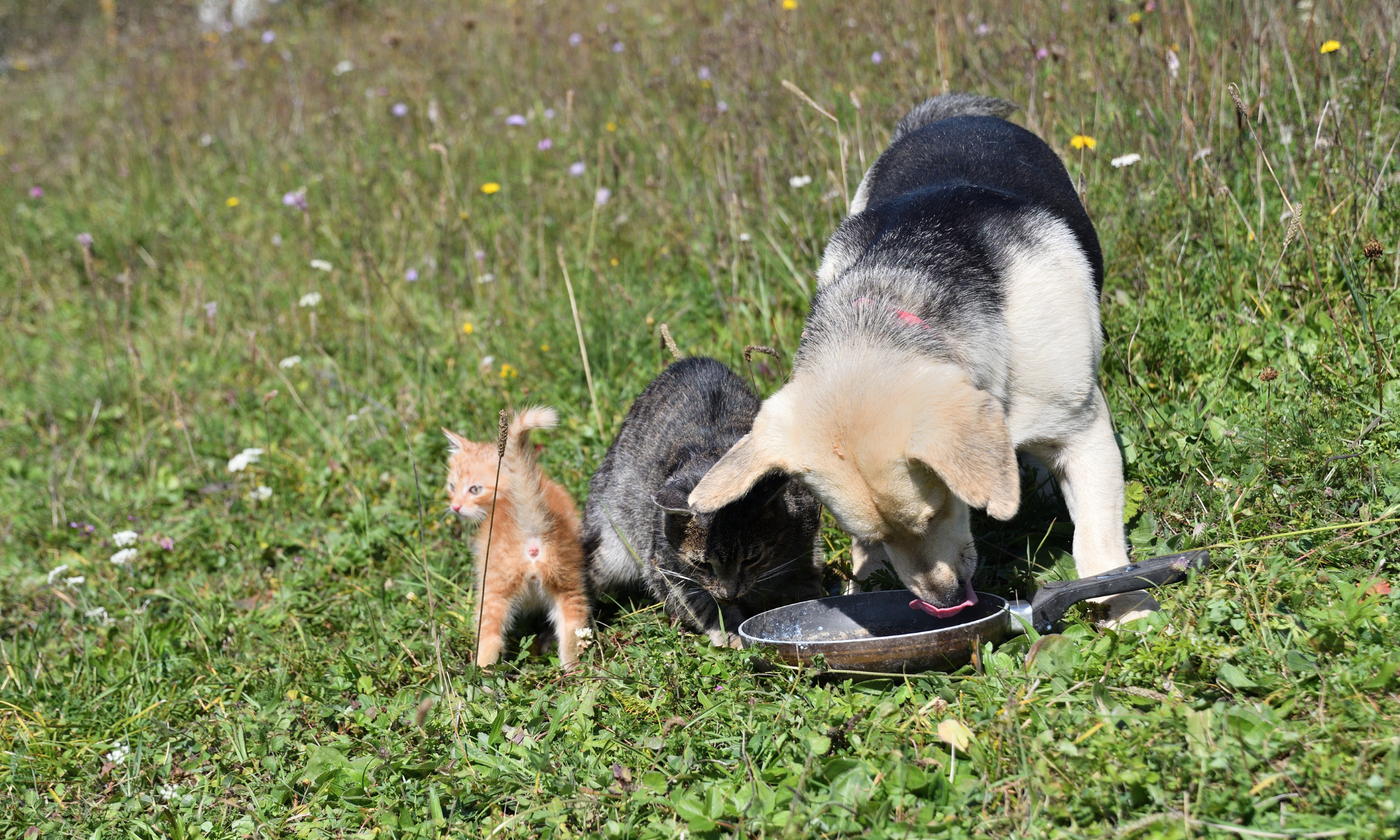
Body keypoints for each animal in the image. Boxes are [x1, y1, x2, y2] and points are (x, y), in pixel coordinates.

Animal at [439, 406, 588, 669]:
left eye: (475, 489)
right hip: (568, 584)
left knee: (490, 636)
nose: (455, 507)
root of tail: (532, 531)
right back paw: (573, 672)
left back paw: (480, 675)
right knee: (573, 629)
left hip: (493, 589)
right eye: (452, 486)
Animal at [582, 357, 823, 646]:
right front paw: (731, 634)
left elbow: (805, 572)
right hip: (612, 548)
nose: (729, 593)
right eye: (701, 564)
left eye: (752, 559)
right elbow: (705, 606)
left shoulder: (808, 529)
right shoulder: (667, 570)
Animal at [683, 95, 1153, 627]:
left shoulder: (1085, 434)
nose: (944, 603)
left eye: (937, 511)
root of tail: (948, 120)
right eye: (876, 535)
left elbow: (1096, 549)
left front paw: (1128, 611)